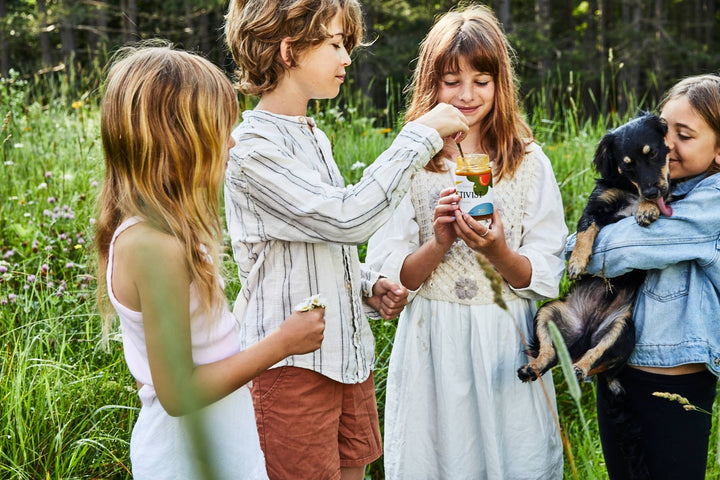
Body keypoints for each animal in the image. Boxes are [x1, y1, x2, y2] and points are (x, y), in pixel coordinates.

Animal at [516, 112, 672, 390]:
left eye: (652, 153)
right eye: (627, 165)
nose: (651, 191)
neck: (630, 188)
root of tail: (583, 337)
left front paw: (647, 207)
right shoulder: (595, 208)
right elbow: (585, 231)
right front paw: (577, 263)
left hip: (621, 330)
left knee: (593, 358)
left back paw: (578, 368)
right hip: (549, 312)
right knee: (550, 353)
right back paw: (533, 368)